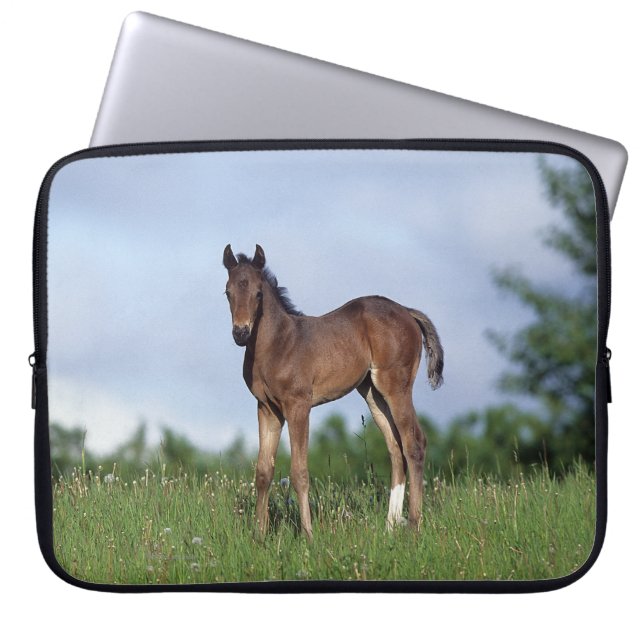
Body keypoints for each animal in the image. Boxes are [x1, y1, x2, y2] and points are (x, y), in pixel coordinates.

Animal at [223, 244, 443, 539]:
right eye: (228, 292)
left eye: (258, 293)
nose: (241, 333)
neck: (278, 344)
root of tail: (406, 311)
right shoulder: (267, 408)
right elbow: (263, 472)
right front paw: (259, 536)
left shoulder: (298, 406)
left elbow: (299, 472)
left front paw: (308, 534)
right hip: (372, 393)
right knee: (395, 449)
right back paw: (389, 527)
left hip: (397, 386)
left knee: (414, 443)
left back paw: (413, 525)